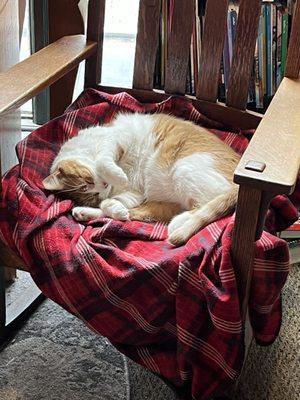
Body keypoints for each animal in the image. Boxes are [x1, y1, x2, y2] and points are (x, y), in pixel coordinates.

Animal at [42, 111, 239, 245]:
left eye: (88, 181)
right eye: (92, 194)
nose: (104, 185)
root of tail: (238, 186)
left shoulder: (115, 140)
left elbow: (103, 161)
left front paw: (118, 177)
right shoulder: (135, 193)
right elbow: (110, 203)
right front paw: (114, 206)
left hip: (182, 169)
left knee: (201, 207)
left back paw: (178, 224)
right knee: (135, 213)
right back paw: (85, 212)